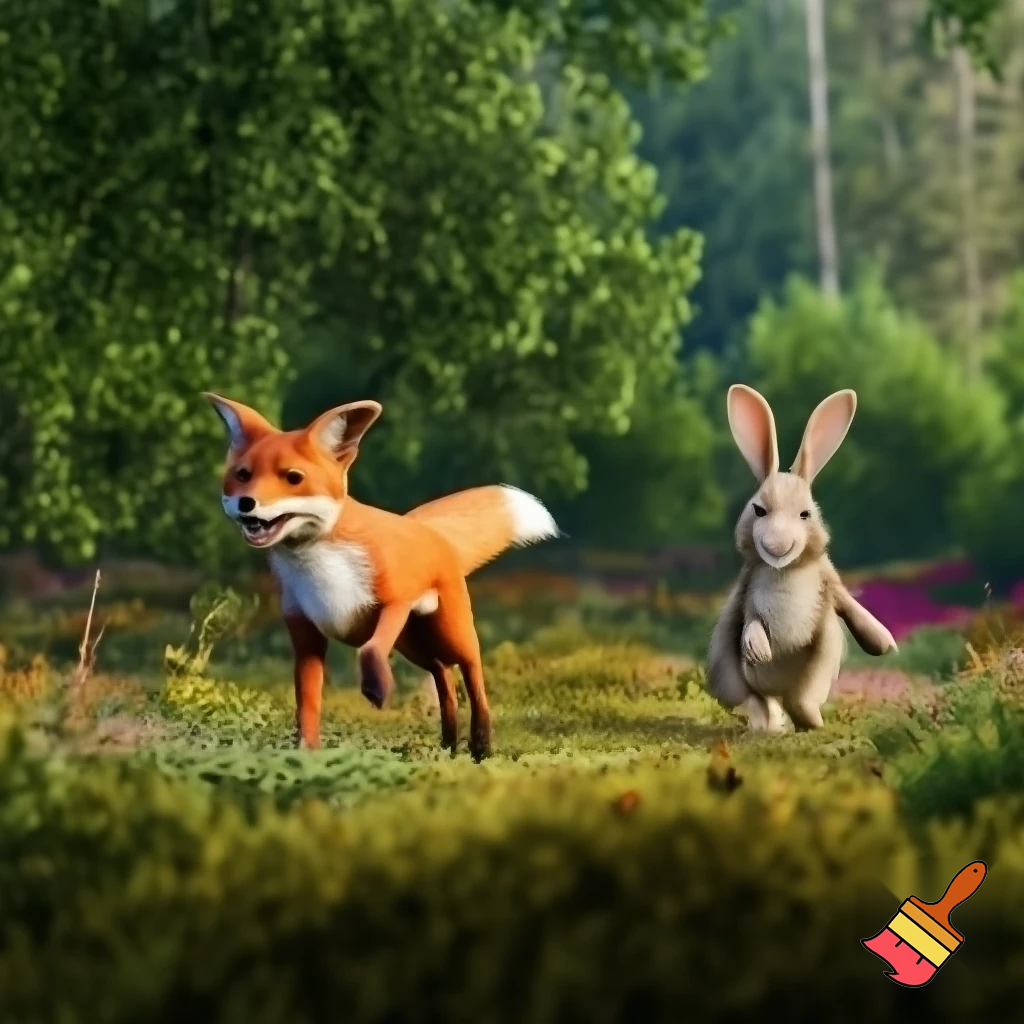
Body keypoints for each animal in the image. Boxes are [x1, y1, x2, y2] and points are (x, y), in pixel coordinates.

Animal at [202, 393, 560, 761]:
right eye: (243, 475)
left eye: (292, 477)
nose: (247, 503)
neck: (320, 570)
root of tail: (425, 528)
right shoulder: (305, 632)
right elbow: (308, 703)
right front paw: (307, 753)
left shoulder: (394, 603)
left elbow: (370, 650)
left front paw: (377, 690)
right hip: (414, 645)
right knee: (443, 676)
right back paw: (448, 744)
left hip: (449, 631)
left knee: (472, 673)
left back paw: (481, 746)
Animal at [706, 384, 897, 732]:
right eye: (759, 510)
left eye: (805, 514)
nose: (777, 544)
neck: (784, 571)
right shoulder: (748, 587)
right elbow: (750, 618)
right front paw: (759, 651)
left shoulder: (828, 579)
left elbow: (848, 603)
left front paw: (884, 642)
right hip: (735, 677)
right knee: (757, 699)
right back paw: (767, 726)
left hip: (820, 655)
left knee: (803, 690)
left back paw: (809, 722)